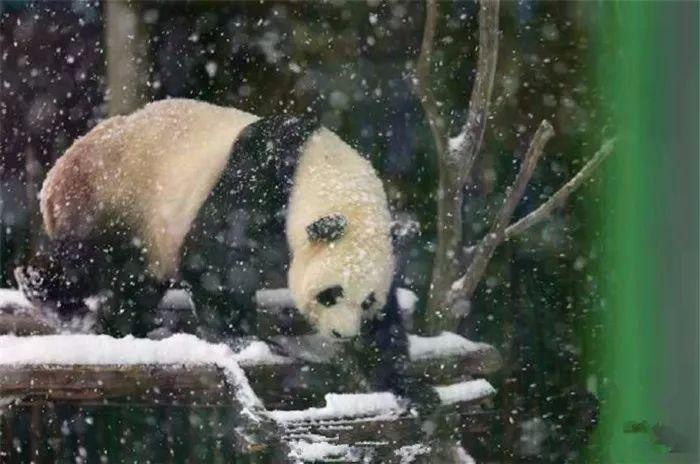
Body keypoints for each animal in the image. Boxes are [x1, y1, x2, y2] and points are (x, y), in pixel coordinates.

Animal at [16, 98, 438, 406]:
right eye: (330, 293)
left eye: (366, 301)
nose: (343, 334)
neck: (320, 169)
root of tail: (57, 175)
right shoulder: (259, 176)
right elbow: (217, 259)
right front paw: (241, 337)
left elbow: (388, 325)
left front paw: (411, 386)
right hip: (114, 194)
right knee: (89, 260)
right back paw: (49, 295)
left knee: (137, 281)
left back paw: (127, 325)